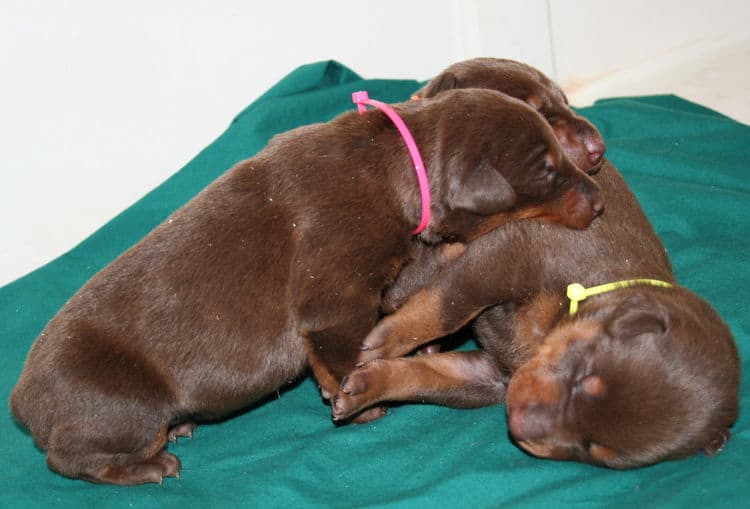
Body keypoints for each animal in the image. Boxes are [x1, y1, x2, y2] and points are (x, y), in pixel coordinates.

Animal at [10, 88, 604, 484]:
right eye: (546, 168)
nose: (600, 201)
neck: (398, 162)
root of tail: (20, 403)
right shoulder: (339, 286)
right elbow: (346, 345)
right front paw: (358, 400)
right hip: (124, 409)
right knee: (71, 458)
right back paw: (149, 465)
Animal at [330, 156, 740, 468]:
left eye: (594, 448)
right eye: (581, 375)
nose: (521, 424)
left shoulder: (493, 377)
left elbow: (424, 378)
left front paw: (367, 386)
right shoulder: (512, 252)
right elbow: (447, 305)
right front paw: (382, 342)